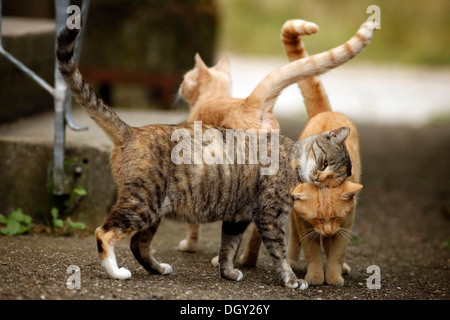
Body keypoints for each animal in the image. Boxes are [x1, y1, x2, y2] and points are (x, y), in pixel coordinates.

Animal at [56, 26, 354, 288]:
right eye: (325, 162)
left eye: (335, 180)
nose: (320, 178)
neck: (292, 158)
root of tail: (132, 131)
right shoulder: (269, 217)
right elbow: (279, 253)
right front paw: (291, 280)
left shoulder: (237, 219)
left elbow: (228, 249)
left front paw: (228, 273)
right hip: (143, 203)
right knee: (104, 232)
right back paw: (116, 272)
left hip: (153, 209)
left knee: (137, 243)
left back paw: (158, 268)